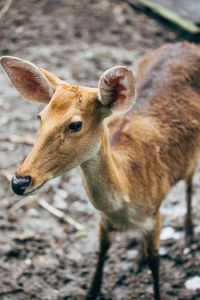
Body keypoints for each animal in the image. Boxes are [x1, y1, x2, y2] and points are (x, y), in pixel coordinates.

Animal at [0, 40, 199, 300]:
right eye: (40, 116)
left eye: (75, 124)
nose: (19, 181)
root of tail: (186, 43)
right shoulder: (104, 221)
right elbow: (102, 251)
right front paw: (92, 291)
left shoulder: (154, 214)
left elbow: (156, 262)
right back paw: (138, 259)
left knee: (189, 183)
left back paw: (189, 233)